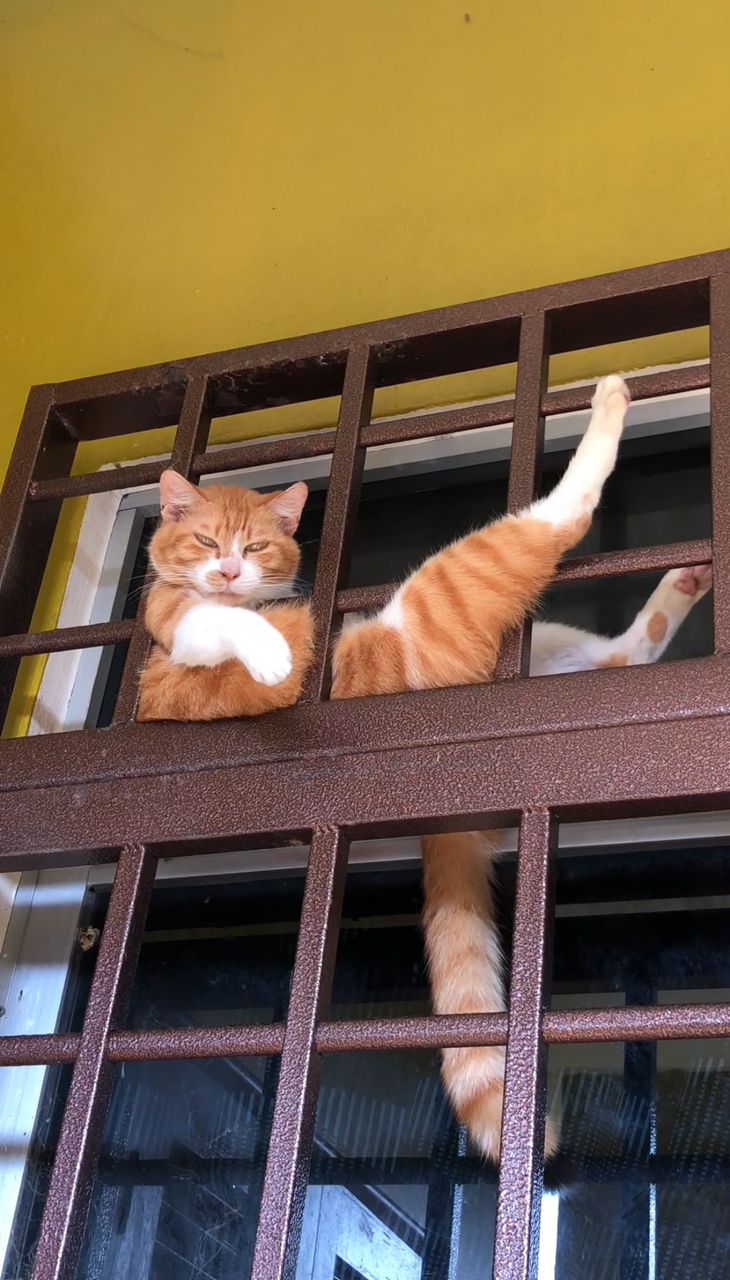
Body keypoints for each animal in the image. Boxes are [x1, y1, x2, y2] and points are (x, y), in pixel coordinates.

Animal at [137, 373, 712, 1167]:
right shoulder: (172, 647)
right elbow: (218, 625)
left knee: (627, 652)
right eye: (202, 540)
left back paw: (681, 584)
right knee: (552, 524)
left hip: (533, 637)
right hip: (443, 599)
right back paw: (606, 413)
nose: (227, 569)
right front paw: (271, 648)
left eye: (254, 545)